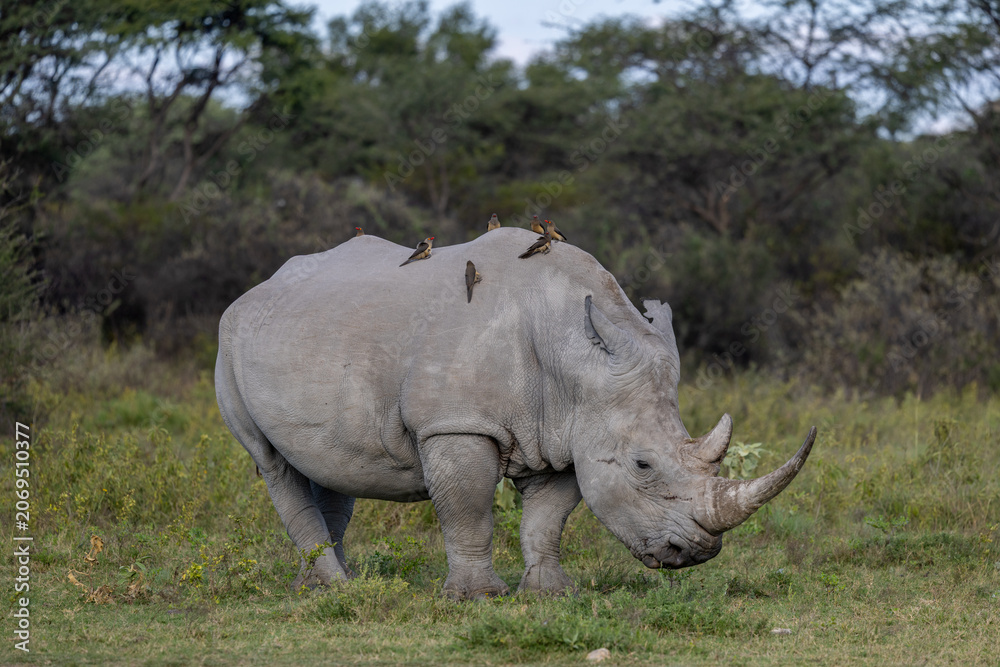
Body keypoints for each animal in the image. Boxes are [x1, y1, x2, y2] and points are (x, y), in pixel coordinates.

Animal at [215, 227, 816, 599]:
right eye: (643, 466)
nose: (695, 552)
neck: (574, 355)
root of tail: (256, 290)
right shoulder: (457, 424)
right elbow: (468, 510)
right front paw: (477, 598)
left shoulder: (568, 431)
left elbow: (548, 518)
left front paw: (551, 593)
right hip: (228, 340)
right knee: (272, 463)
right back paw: (333, 588)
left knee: (327, 466)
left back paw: (325, 585)